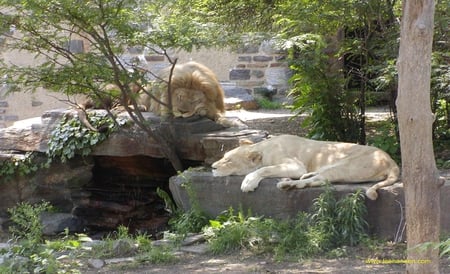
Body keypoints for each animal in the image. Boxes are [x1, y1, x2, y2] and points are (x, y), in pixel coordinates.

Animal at [212, 134, 400, 200]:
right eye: (223, 156)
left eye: (228, 161)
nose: (212, 167)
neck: (263, 147)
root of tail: (392, 162)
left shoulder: (295, 165)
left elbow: (265, 169)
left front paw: (248, 182)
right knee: (316, 179)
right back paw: (295, 180)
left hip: (345, 166)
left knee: (317, 181)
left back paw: (286, 184)